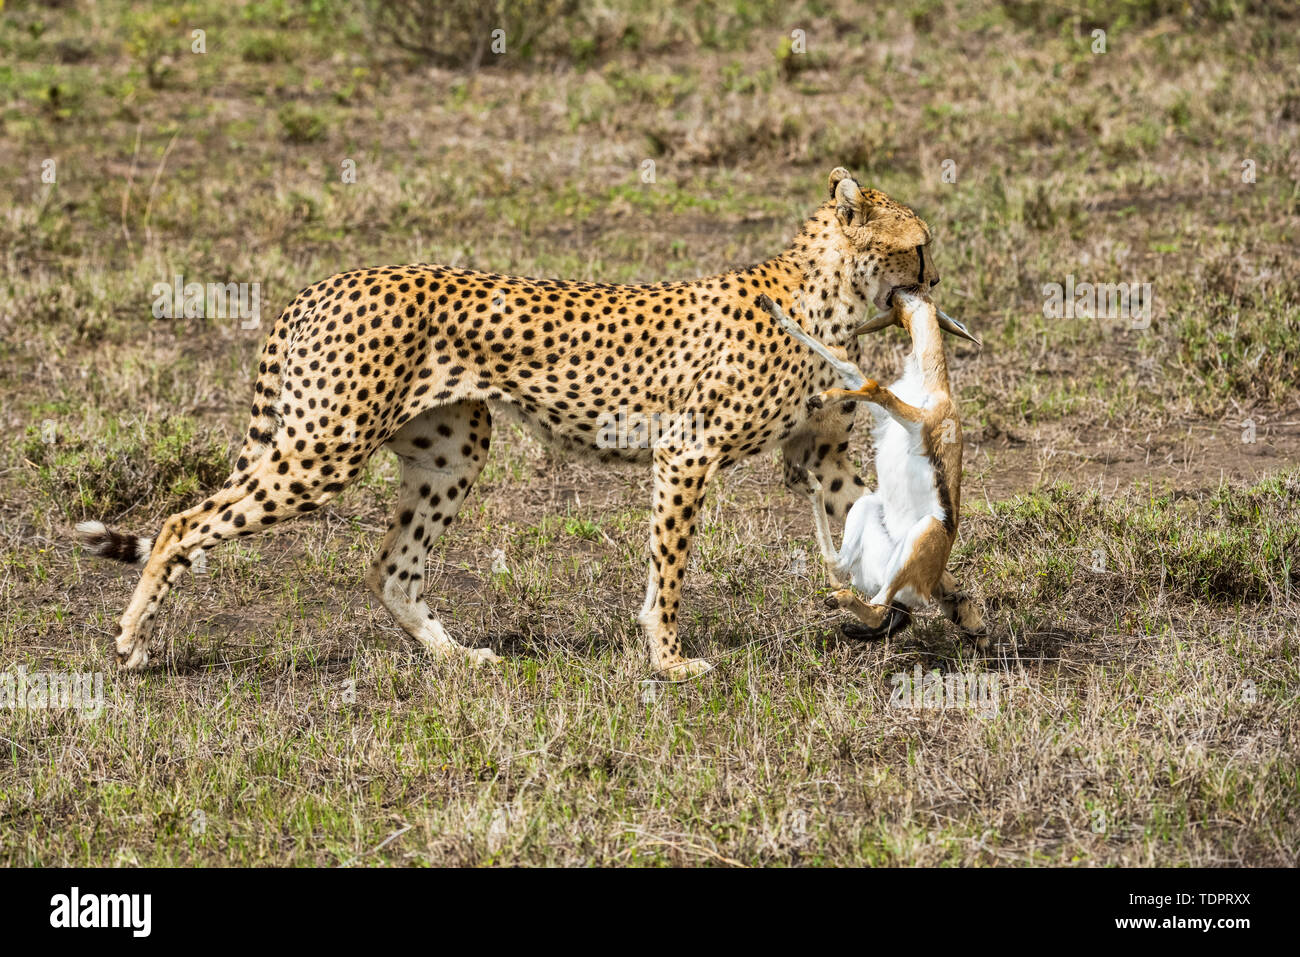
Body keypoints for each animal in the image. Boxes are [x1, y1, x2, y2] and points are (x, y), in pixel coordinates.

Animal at [81, 164, 977, 676]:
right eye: (919, 244)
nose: (935, 282)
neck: (826, 298)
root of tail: (322, 284)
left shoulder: (819, 452)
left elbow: (877, 524)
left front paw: (908, 606)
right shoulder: (686, 453)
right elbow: (670, 570)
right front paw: (669, 660)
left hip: (453, 446)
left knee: (390, 564)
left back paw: (457, 656)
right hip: (322, 449)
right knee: (180, 521)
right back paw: (130, 643)